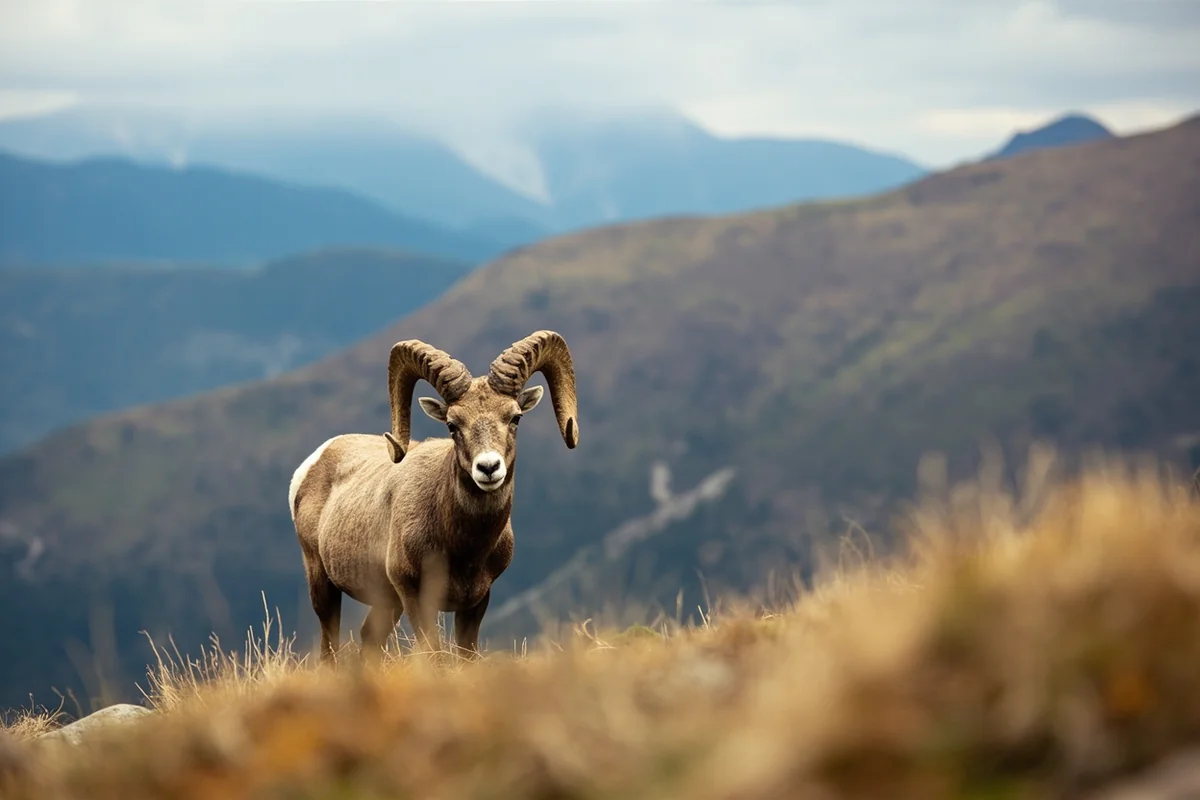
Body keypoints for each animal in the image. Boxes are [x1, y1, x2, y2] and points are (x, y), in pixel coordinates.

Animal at [288, 330, 579, 661]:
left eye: (515, 418)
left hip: (387, 603)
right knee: (329, 647)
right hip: (322, 584)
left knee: (369, 637)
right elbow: (434, 655)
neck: (464, 548)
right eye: (452, 424)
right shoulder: (415, 596)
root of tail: (314, 461)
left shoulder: (476, 603)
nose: (488, 468)